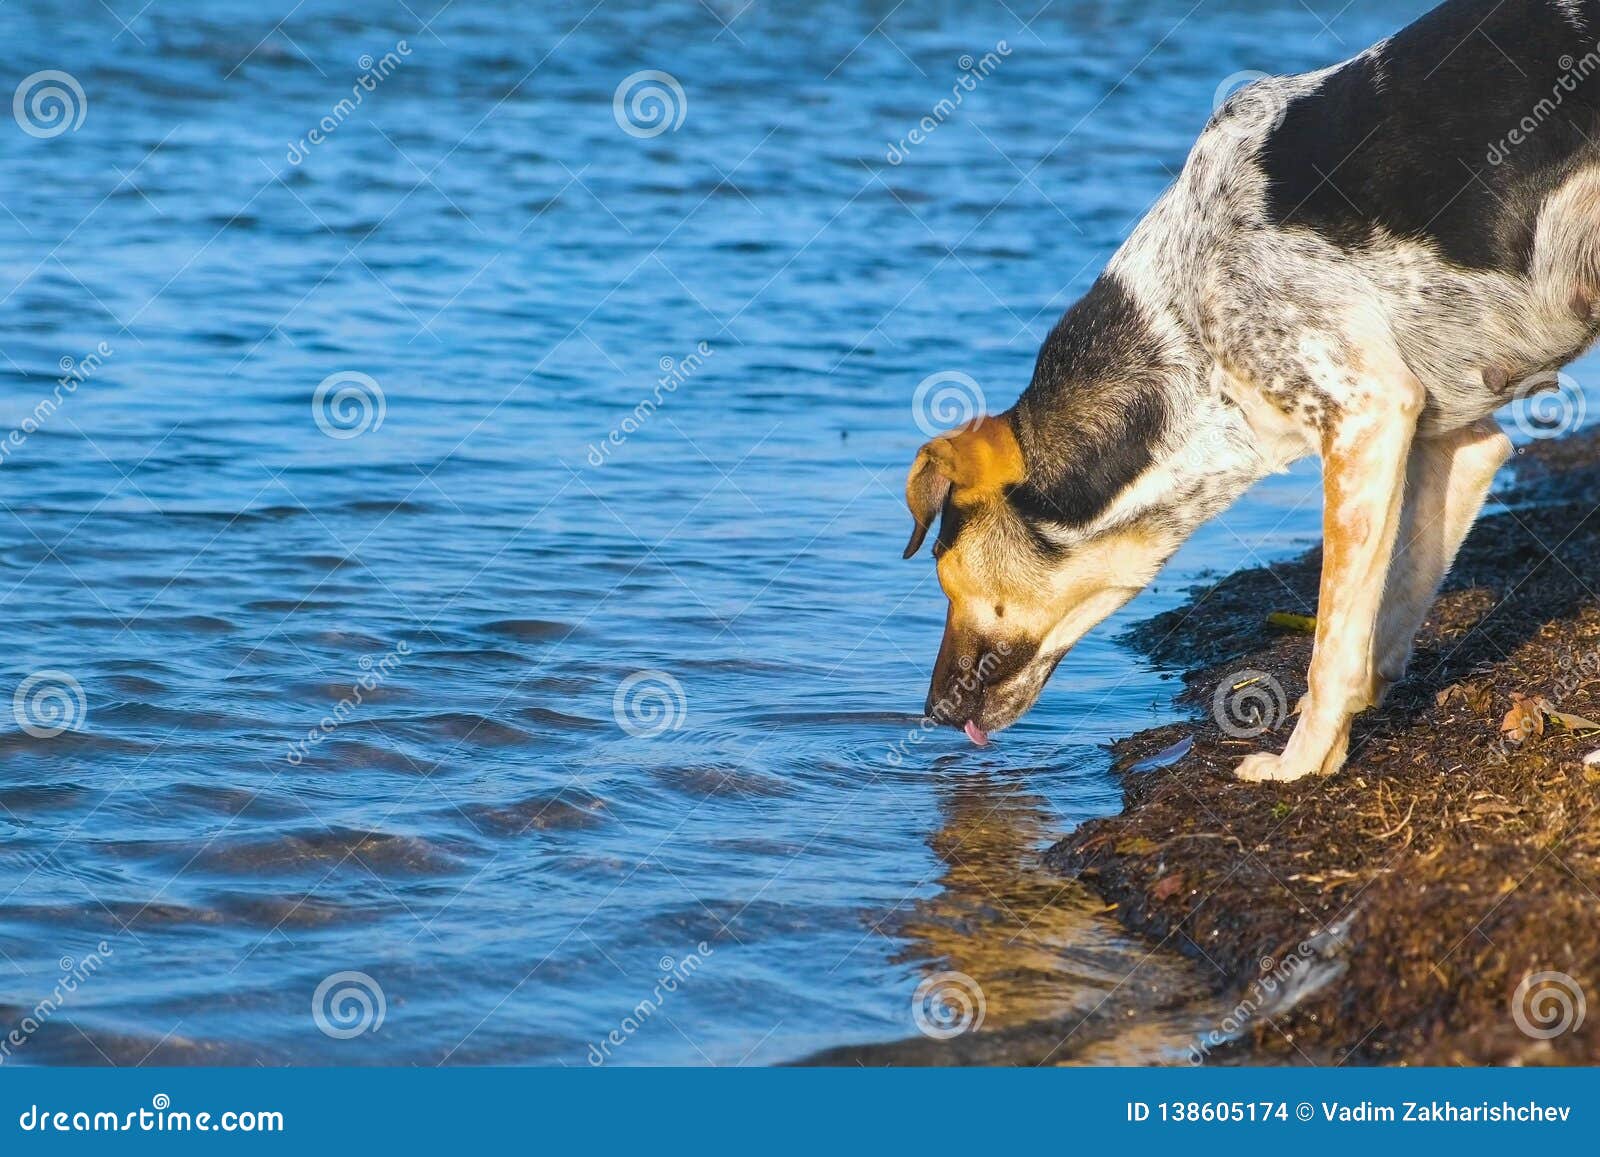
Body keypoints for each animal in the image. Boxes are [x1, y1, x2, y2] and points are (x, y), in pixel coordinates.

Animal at [902, 0, 1600, 784]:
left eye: (945, 578)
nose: (929, 715)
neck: (1184, 324)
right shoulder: (1452, 441)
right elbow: (1383, 615)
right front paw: (1348, 728)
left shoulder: (1364, 416)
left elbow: (1331, 646)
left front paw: (1301, 763)